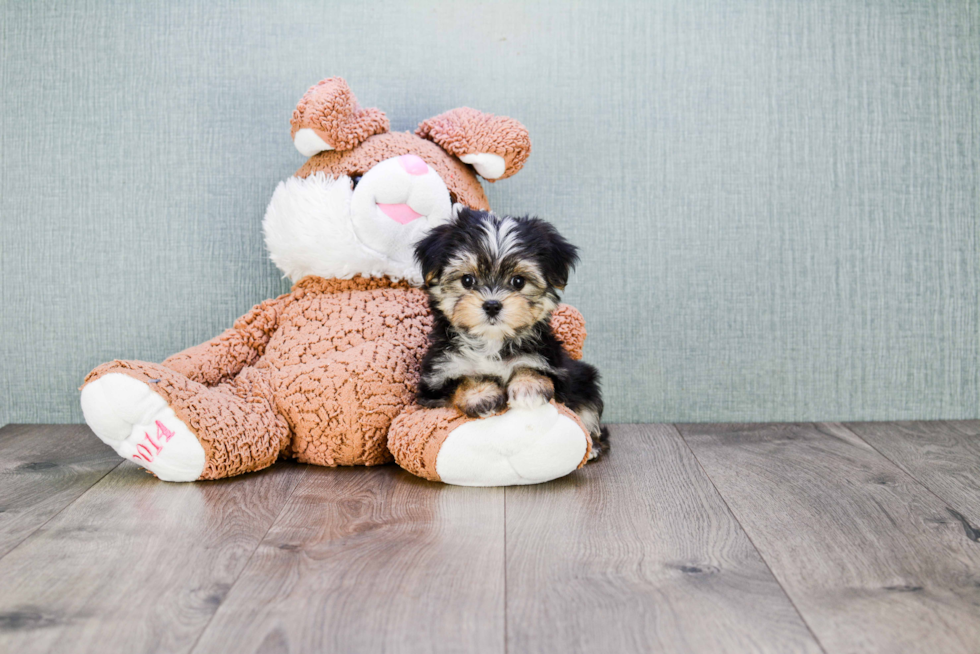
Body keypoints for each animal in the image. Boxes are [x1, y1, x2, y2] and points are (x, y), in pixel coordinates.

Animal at [412, 210, 604, 462]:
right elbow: (461, 379)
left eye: (518, 281)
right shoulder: (436, 380)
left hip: (585, 379)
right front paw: (482, 396)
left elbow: (531, 365)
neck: (492, 340)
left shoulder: (555, 365)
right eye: (467, 280)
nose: (492, 305)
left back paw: (594, 446)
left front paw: (528, 388)